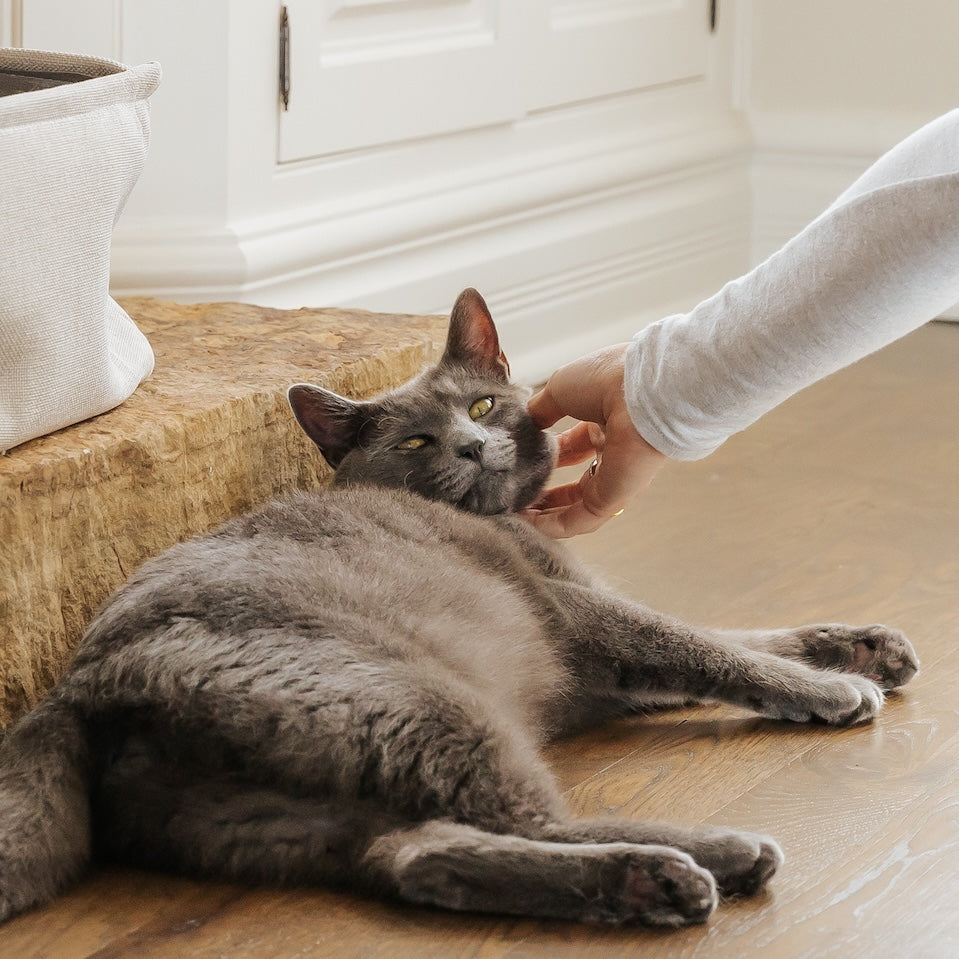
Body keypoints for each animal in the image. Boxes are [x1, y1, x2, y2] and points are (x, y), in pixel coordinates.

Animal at [0, 288, 924, 928]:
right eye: (417, 440)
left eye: (480, 406)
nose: (475, 445)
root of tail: (80, 690)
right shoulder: (576, 614)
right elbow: (700, 643)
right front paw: (834, 689)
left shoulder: (600, 648)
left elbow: (732, 632)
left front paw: (864, 646)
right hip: (415, 701)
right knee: (528, 817)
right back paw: (703, 858)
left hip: (272, 813)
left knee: (416, 854)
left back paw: (647, 880)